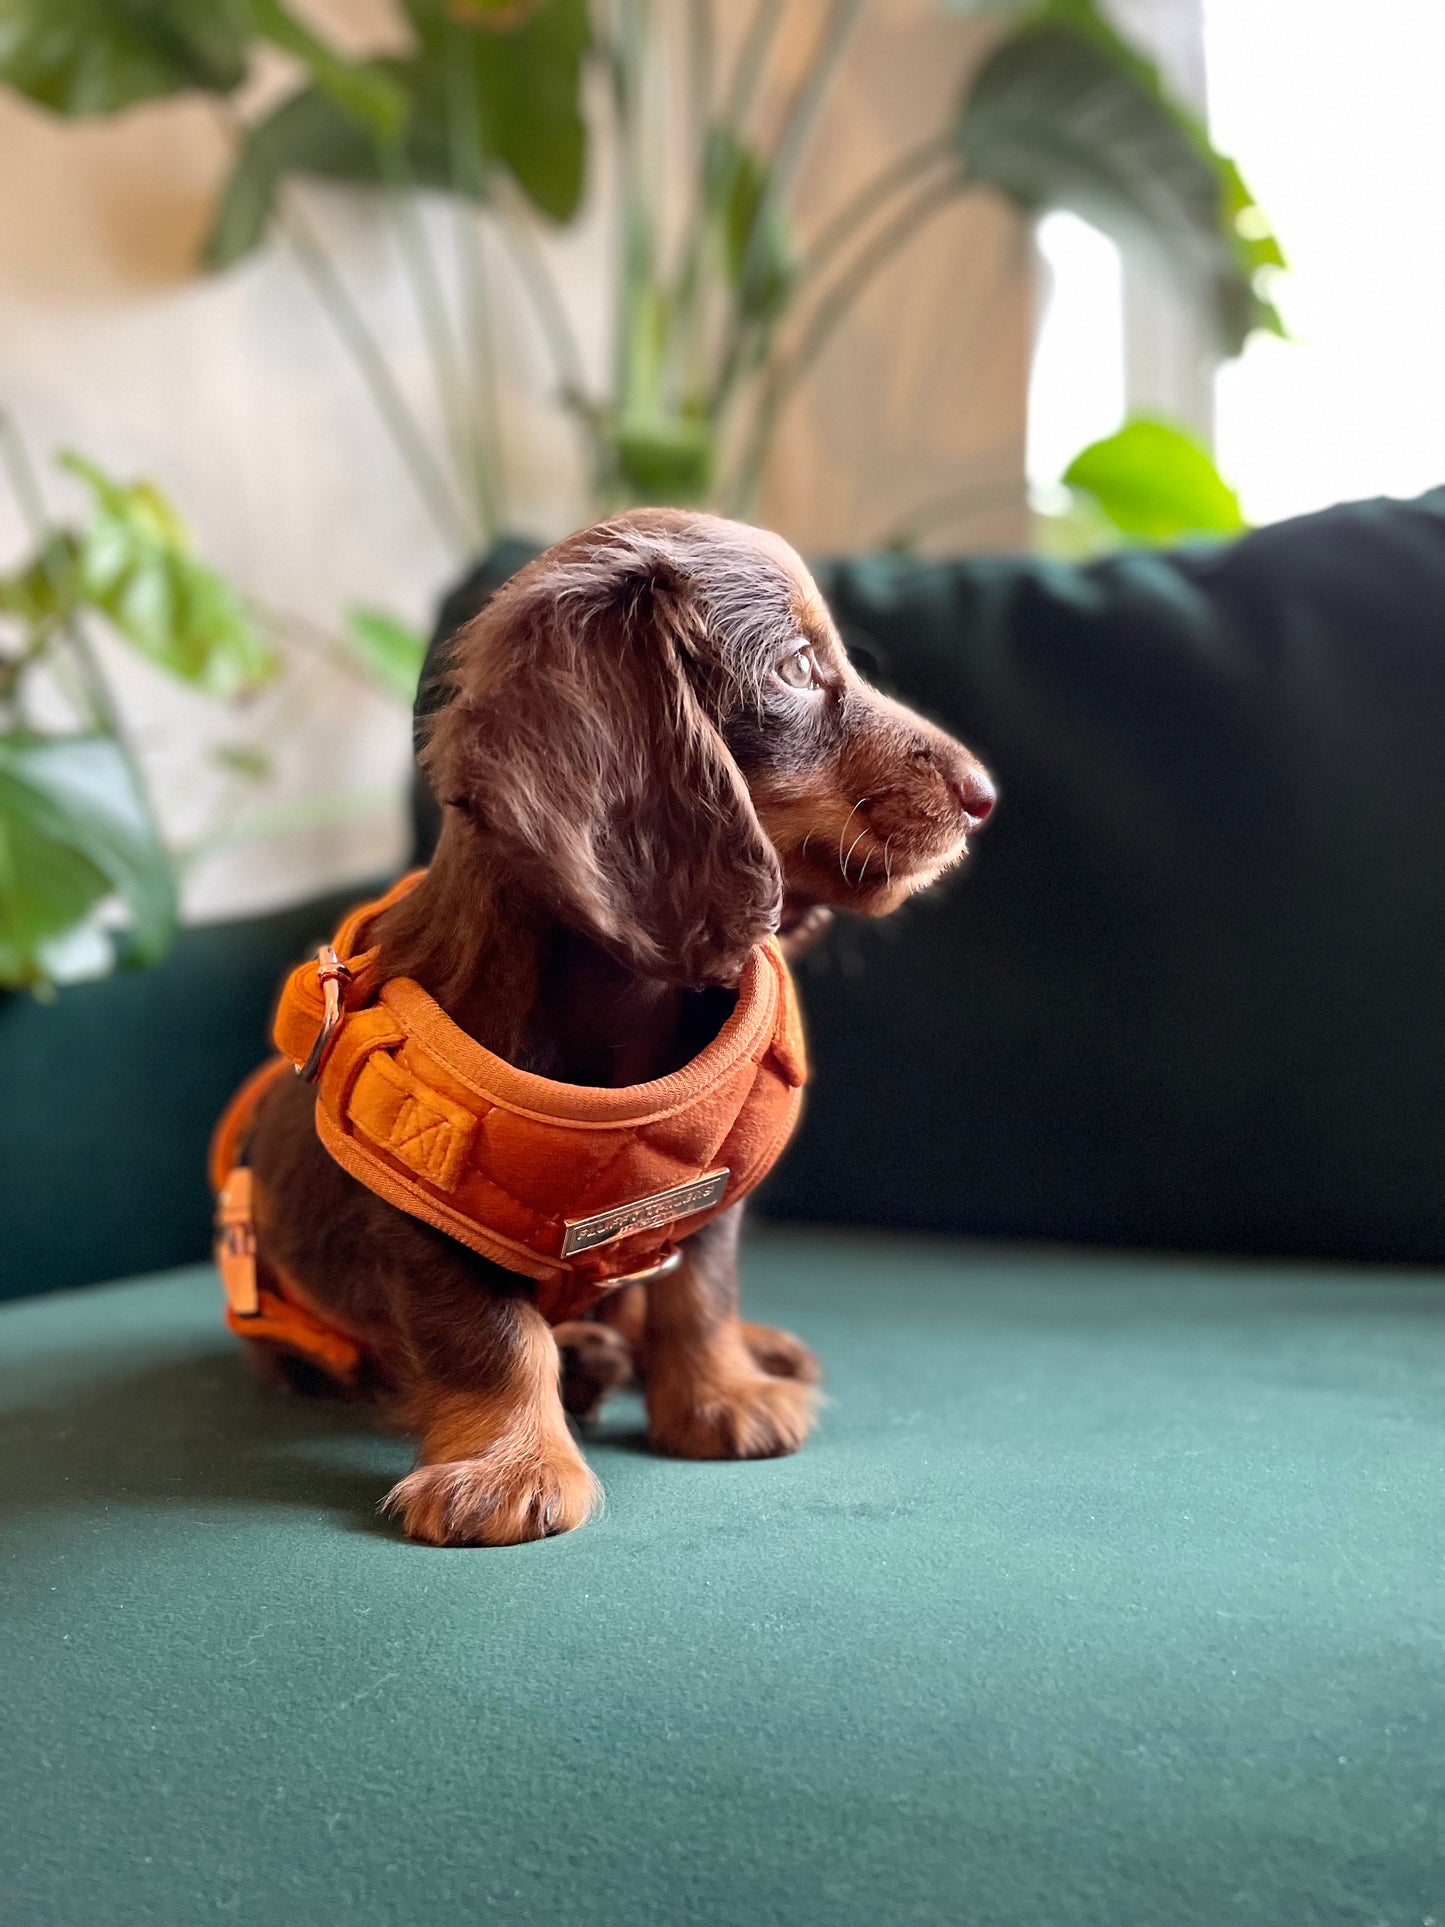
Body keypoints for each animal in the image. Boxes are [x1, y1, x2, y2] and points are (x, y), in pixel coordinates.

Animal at [246, 504, 994, 1541]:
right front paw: (509, 1466)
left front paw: (723, 1395)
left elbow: (696, 1291)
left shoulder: (706, 1185)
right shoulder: (417, 1216)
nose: (983, 796)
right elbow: (490, 1335)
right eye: (797, 667)